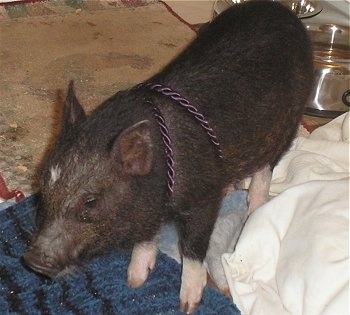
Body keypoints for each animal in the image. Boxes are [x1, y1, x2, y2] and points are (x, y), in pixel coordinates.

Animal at [23, 1, 314, 314]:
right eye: (43, 188)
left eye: (91, 202)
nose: (33, 261)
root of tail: (280, 10)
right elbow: (146, 237)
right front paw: (135, 280)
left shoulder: (202, 199)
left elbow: (194, 247)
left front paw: (187, 305)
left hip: (288, 122)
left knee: (267, 166)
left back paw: (253, 210)